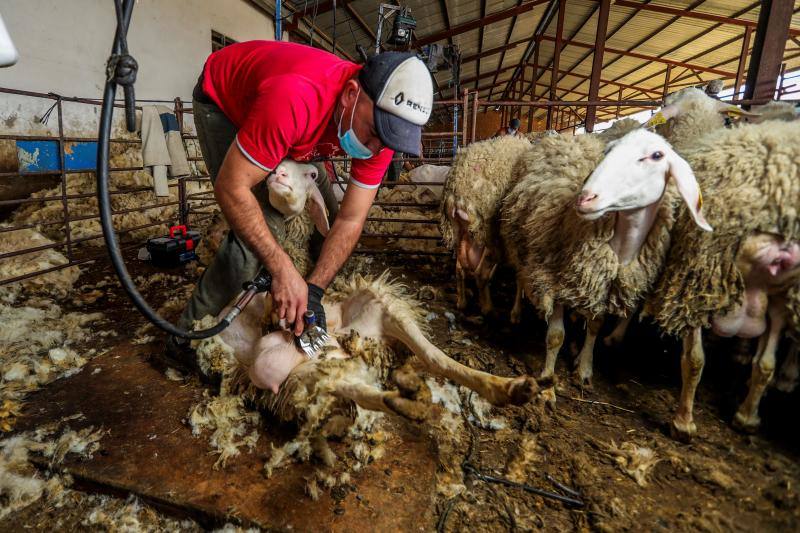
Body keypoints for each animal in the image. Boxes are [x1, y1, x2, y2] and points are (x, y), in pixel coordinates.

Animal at [438, 135, 532, 314]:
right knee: (480, 273)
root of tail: (459, 188)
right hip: (486, 232)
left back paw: (462, 302)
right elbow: (520, 276)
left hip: (459, 230)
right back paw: (488, 308)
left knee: (459, 269)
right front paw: (516, 312)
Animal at [640, 118, 800, 438]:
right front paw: (683, 422)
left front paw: (747, 417)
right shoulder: (693, 285)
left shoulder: (778, 300)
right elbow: (694, 361)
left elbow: (766, 366)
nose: (789, 253)